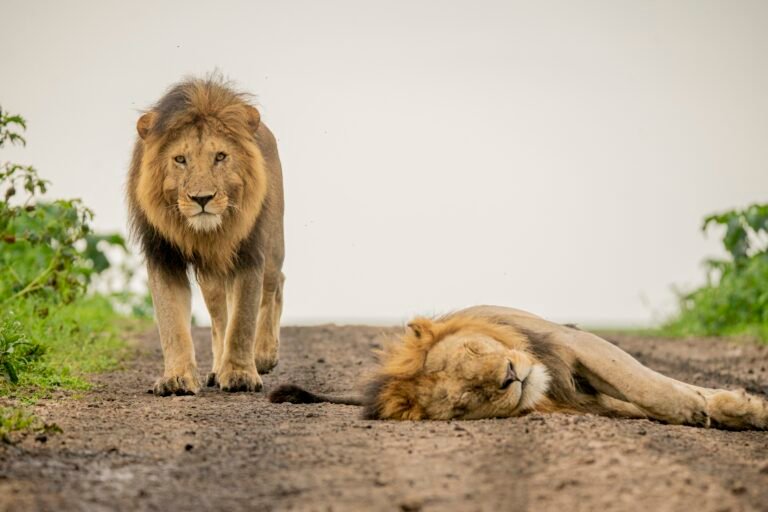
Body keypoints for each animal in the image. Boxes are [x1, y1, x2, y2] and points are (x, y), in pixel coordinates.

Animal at [127, 76, 285, 396]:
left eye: (220, 157)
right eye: (180, 159)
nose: (202, 198)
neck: (206, 234)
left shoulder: (249, 253)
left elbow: (243, 319)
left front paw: (240, 375)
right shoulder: (163, 256)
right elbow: (172, 323)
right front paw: (176, 378)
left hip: (274, 249)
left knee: (273, 289)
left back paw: (263, 355)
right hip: (211, 280)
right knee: (219, 317)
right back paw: (217, 368)